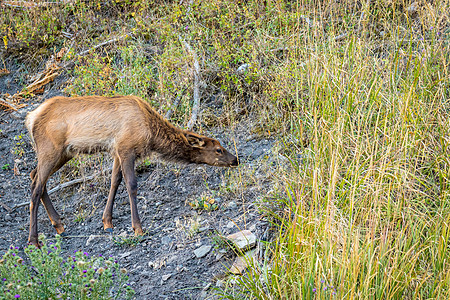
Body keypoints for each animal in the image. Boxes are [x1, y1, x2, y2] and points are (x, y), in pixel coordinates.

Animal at [25, 95, 239, 246]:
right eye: (218, 149)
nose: (235, 159)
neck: (151, 135)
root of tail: (30, 118)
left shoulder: (117, 151)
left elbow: (114, 182)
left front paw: (107, 222)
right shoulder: (127, 148)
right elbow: (131, 185)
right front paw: (138, 228)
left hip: (64, 153)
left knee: (35, 176)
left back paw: (58, 224)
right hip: (50, 149)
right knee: (36, 187)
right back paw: (33, 240)